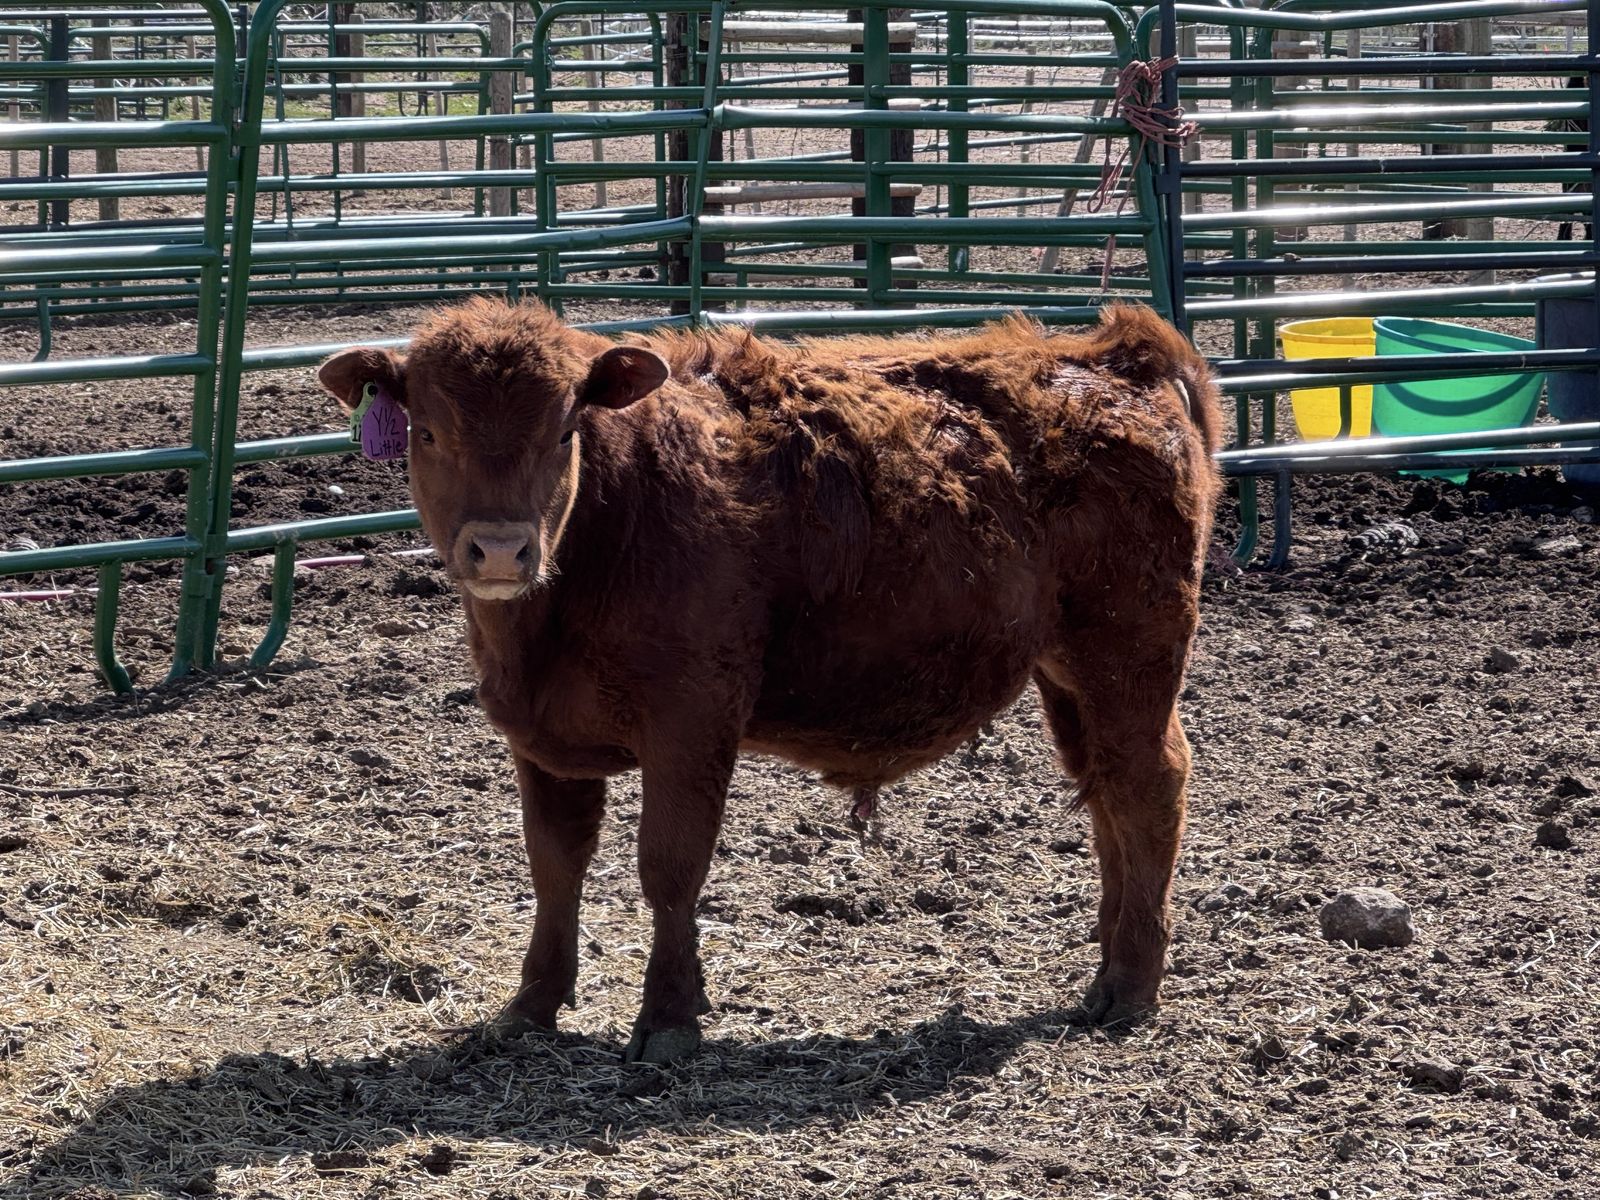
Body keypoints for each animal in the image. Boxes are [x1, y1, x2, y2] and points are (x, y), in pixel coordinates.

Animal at [317, 299, 1222, 1064]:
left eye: (565, 428)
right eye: (428, 432)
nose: (502, 549)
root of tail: (1113, 356)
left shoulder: (692, 721)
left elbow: (670, 866)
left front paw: (669, 1019)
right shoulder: (541, 736)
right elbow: (554, 862)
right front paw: (531, 1004)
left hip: (1129, 654)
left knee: (1149, 785)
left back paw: (1130, 983)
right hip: (1068, 673)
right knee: (1106, 795)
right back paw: (1108, 964)